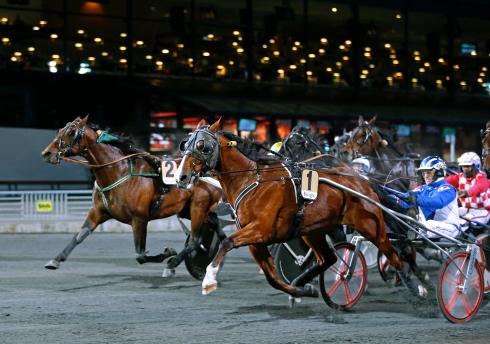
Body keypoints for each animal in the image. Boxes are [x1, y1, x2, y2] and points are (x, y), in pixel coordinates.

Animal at [41, 115, 225, 280]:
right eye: (59, 130)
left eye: (71, 132)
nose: (46, 153)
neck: (118, 172)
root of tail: (212, 172)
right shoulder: (97, 211)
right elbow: (79, 236)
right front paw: (55, 260)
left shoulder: (139, 218)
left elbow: (140, 255)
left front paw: (167, 253)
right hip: (187, 210)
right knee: (214, 224)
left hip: (198, 206)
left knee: (195, 240)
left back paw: (172, 264)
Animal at [175, 118, 424, 304]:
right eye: (184, 144)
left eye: (201, 145)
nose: (181, 177)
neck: (253, 179)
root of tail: (361, 179)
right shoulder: (257, 240)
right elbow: (272, 278)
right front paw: (301, 291)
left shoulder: (260, 229)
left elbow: (226, 243)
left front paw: (209, 279)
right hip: (313, 231)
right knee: (328, 258)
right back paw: (303, 282)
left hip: (370, 225)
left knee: (393, 252)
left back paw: (417, 286)